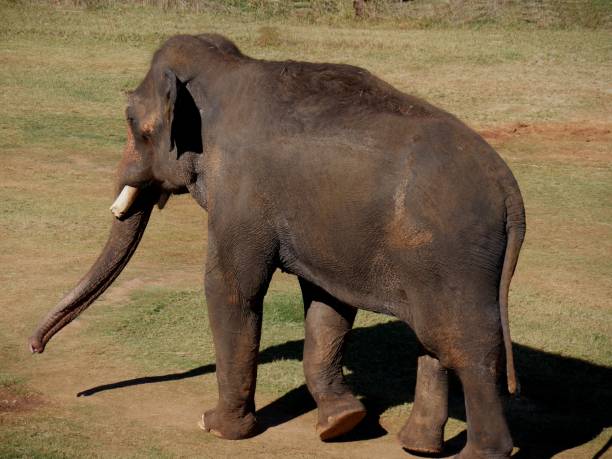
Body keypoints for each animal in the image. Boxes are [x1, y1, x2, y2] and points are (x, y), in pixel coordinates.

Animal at [29, 33, 524, 459]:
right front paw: (342, 422)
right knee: (434, 338)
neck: (227, 71)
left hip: (454, 255)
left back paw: (478, 453)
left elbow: (231, 288)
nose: (34, 348)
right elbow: (328, 304)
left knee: (465, 343)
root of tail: (508, 189)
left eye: (133, 124)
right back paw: (417, 446)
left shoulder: (241, 192)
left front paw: (216, 427)